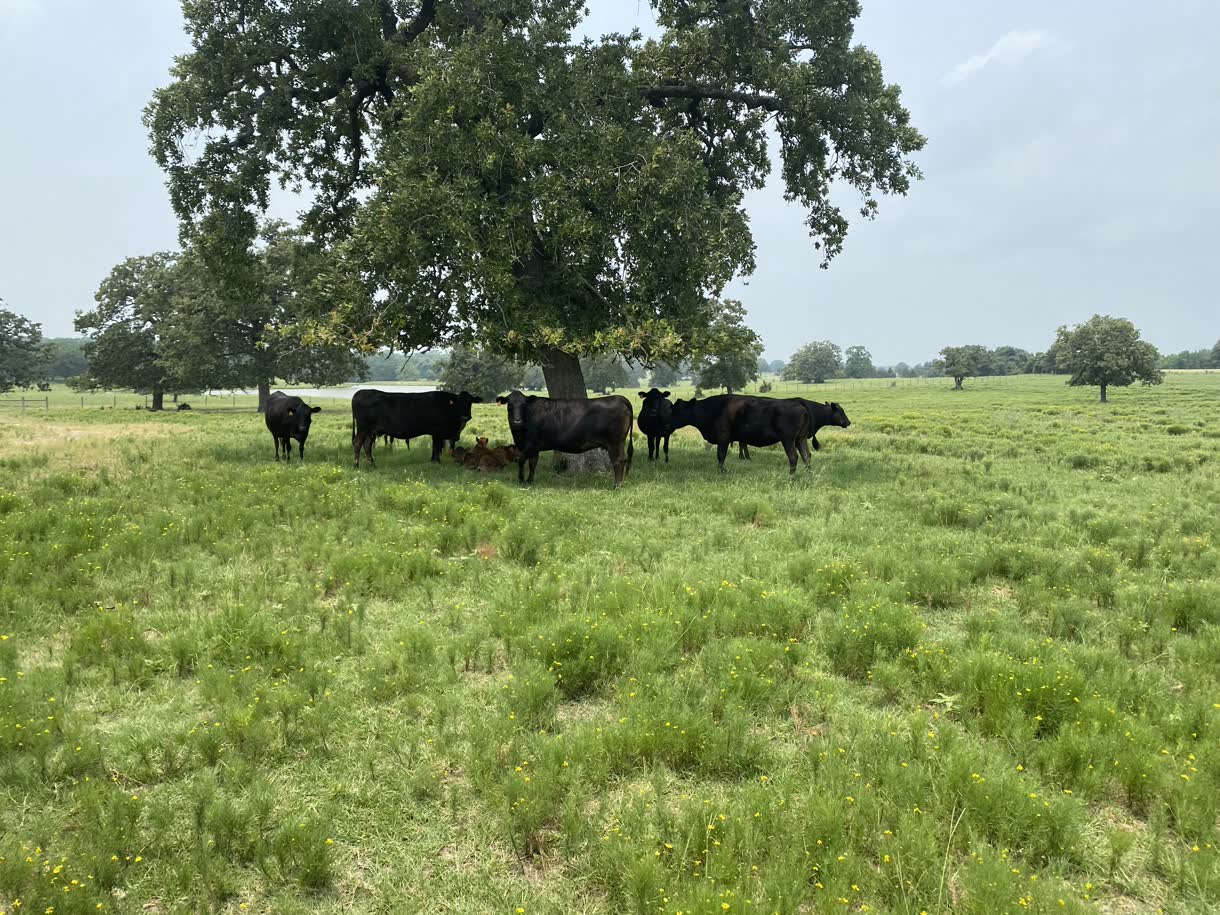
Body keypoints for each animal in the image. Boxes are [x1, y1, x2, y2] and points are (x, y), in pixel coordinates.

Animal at [351, 389, 481, 468]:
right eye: (458, 402)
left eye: (470, 402)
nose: (465, 416)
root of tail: (360, 392)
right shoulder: (437, 431)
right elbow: (437, 446)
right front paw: (437, 461)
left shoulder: (436, 433)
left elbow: (435, 446)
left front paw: (432, 460)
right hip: (363, 427)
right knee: (357, 443)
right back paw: (356, 465)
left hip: (371, 431)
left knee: (367, 445)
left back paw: (372, 465)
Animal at [495, 391, 634, 487]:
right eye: (510, 405)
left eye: (523, 405)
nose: (517, 420)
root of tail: (619, 397)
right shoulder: (534, 448)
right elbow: (533, 463)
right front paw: (530, 481)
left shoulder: (530, 444)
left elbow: (521, 460)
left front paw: (521, 480)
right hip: (619, 442)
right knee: (623, 460)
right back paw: (621, 483)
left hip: (614, 442)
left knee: (618, 461)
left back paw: (617, 486)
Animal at [670, 394, 810, 473]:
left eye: (677, 409)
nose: (667, 423)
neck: (712, 409)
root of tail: (799, 404)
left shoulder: (723, 436)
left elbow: (721, 455)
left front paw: (721, 471)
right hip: (801, 438)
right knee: (806, 456)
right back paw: (808, 474)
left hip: (788, 439)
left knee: (794, 457)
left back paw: (791, 476)